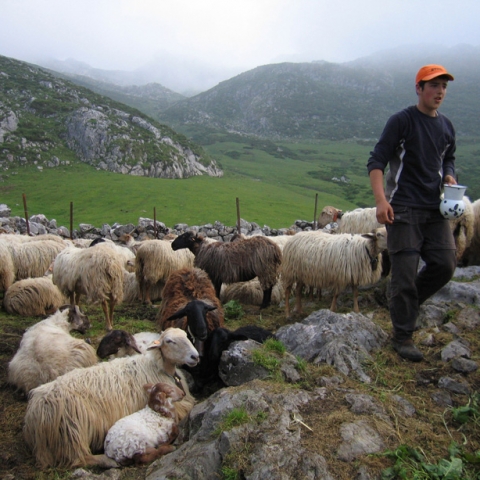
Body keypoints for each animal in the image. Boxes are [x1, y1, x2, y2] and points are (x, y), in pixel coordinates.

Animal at [23, 326, 197, 468]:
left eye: (186, 335)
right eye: (169, 341)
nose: (195, 356)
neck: (158, 367)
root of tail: (35, 407)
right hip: (71, 431)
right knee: (79, 459)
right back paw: (107, 461)